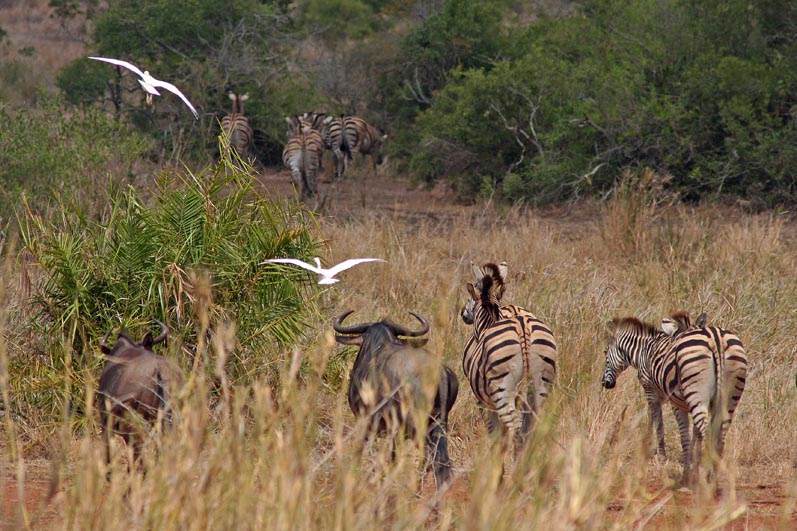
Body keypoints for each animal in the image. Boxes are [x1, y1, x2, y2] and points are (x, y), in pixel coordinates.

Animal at [464, 262, 556, 454]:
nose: (463, 314)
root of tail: (524, 330)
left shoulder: (484, 404)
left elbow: (496, 437)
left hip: (503, 391)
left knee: (517, 431)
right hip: (540, 388)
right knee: (531, 432)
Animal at [604, 312, 748, 486]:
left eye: (605, 353)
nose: (605, 384)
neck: (645, 350)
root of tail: (716, 338)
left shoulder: (654, 393)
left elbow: (659, 423)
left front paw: (660, 456)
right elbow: (692, 434)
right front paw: (692, 465)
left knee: (707, 434)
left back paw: (707, 479)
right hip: (729, 395)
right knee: (719, 438)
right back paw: (713, 478)